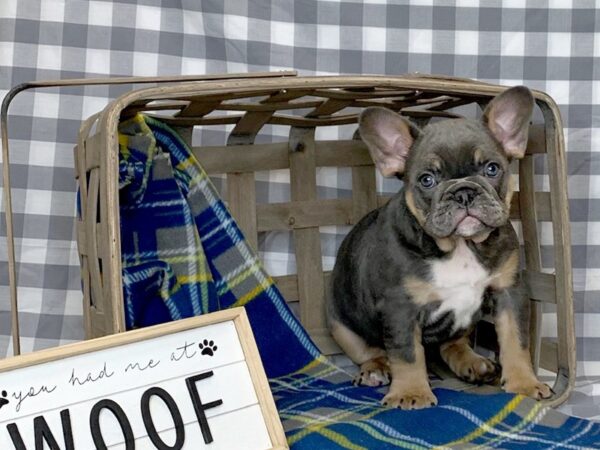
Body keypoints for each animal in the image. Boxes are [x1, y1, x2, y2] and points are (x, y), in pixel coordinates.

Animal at [328, 85, 552, 412]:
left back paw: (472, 362)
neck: (461, 246)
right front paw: (411, 393)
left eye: (492, 169)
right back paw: (376, 369)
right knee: (373, 351)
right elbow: (407, 354)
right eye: (427, 180)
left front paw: (524, 383)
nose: (463, 192)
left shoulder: (509, 292)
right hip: (340, 325)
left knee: (452, 343)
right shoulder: (400, 306)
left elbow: (516, 339)